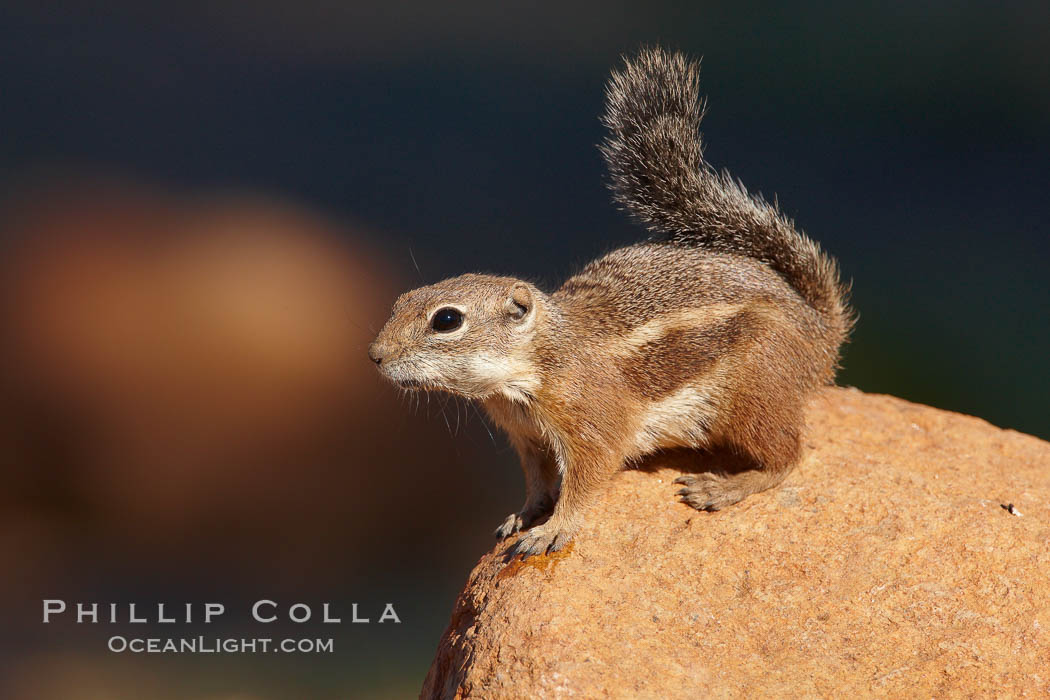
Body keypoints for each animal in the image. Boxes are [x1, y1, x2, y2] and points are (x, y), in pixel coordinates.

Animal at [369, 46, 852, 558]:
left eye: (446, 320)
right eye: (400, 300)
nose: (374, 356)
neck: (534, 363)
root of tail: (818, 328)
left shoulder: (592, 425)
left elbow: (587, 479)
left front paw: (553, 529)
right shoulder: (527, 439)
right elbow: (538, 482)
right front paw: (524, 515)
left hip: (752, 396)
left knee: (788, 456)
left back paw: (723, 487)